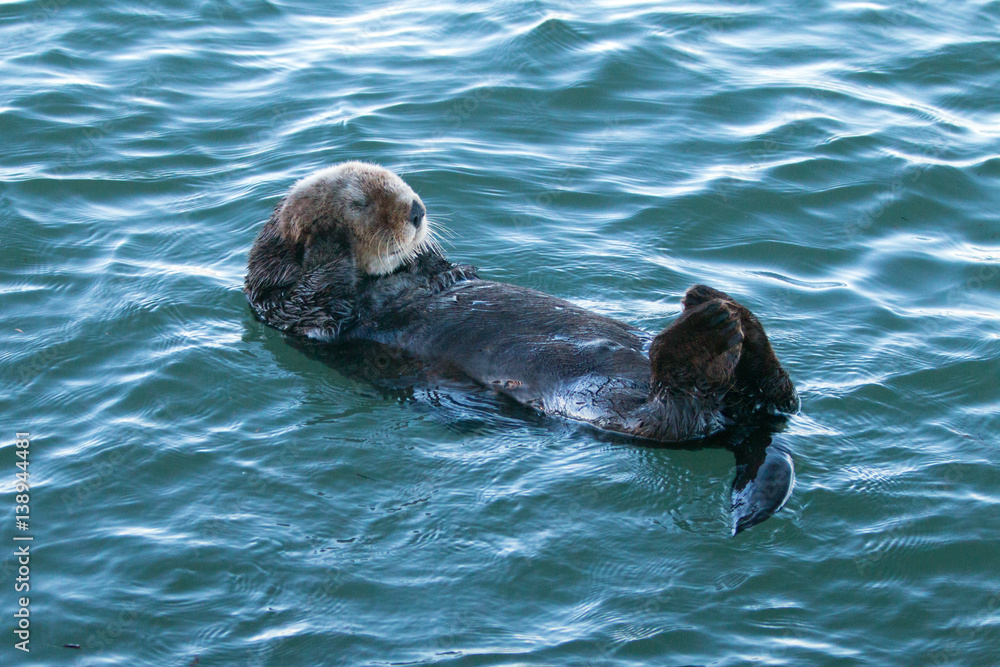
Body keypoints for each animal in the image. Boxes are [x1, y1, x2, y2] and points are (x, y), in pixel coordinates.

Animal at [246, 164, 800, 536]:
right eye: (361, 202)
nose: (417, 210)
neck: (384, 281)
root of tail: (737, 423)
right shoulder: (292, 312)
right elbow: (316, 294)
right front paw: (326, 240)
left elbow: (447, 270)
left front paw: (432, 258)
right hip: (610, 408)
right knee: (672, 415)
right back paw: (713, 328)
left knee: (779, 397)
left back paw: (726, 312)